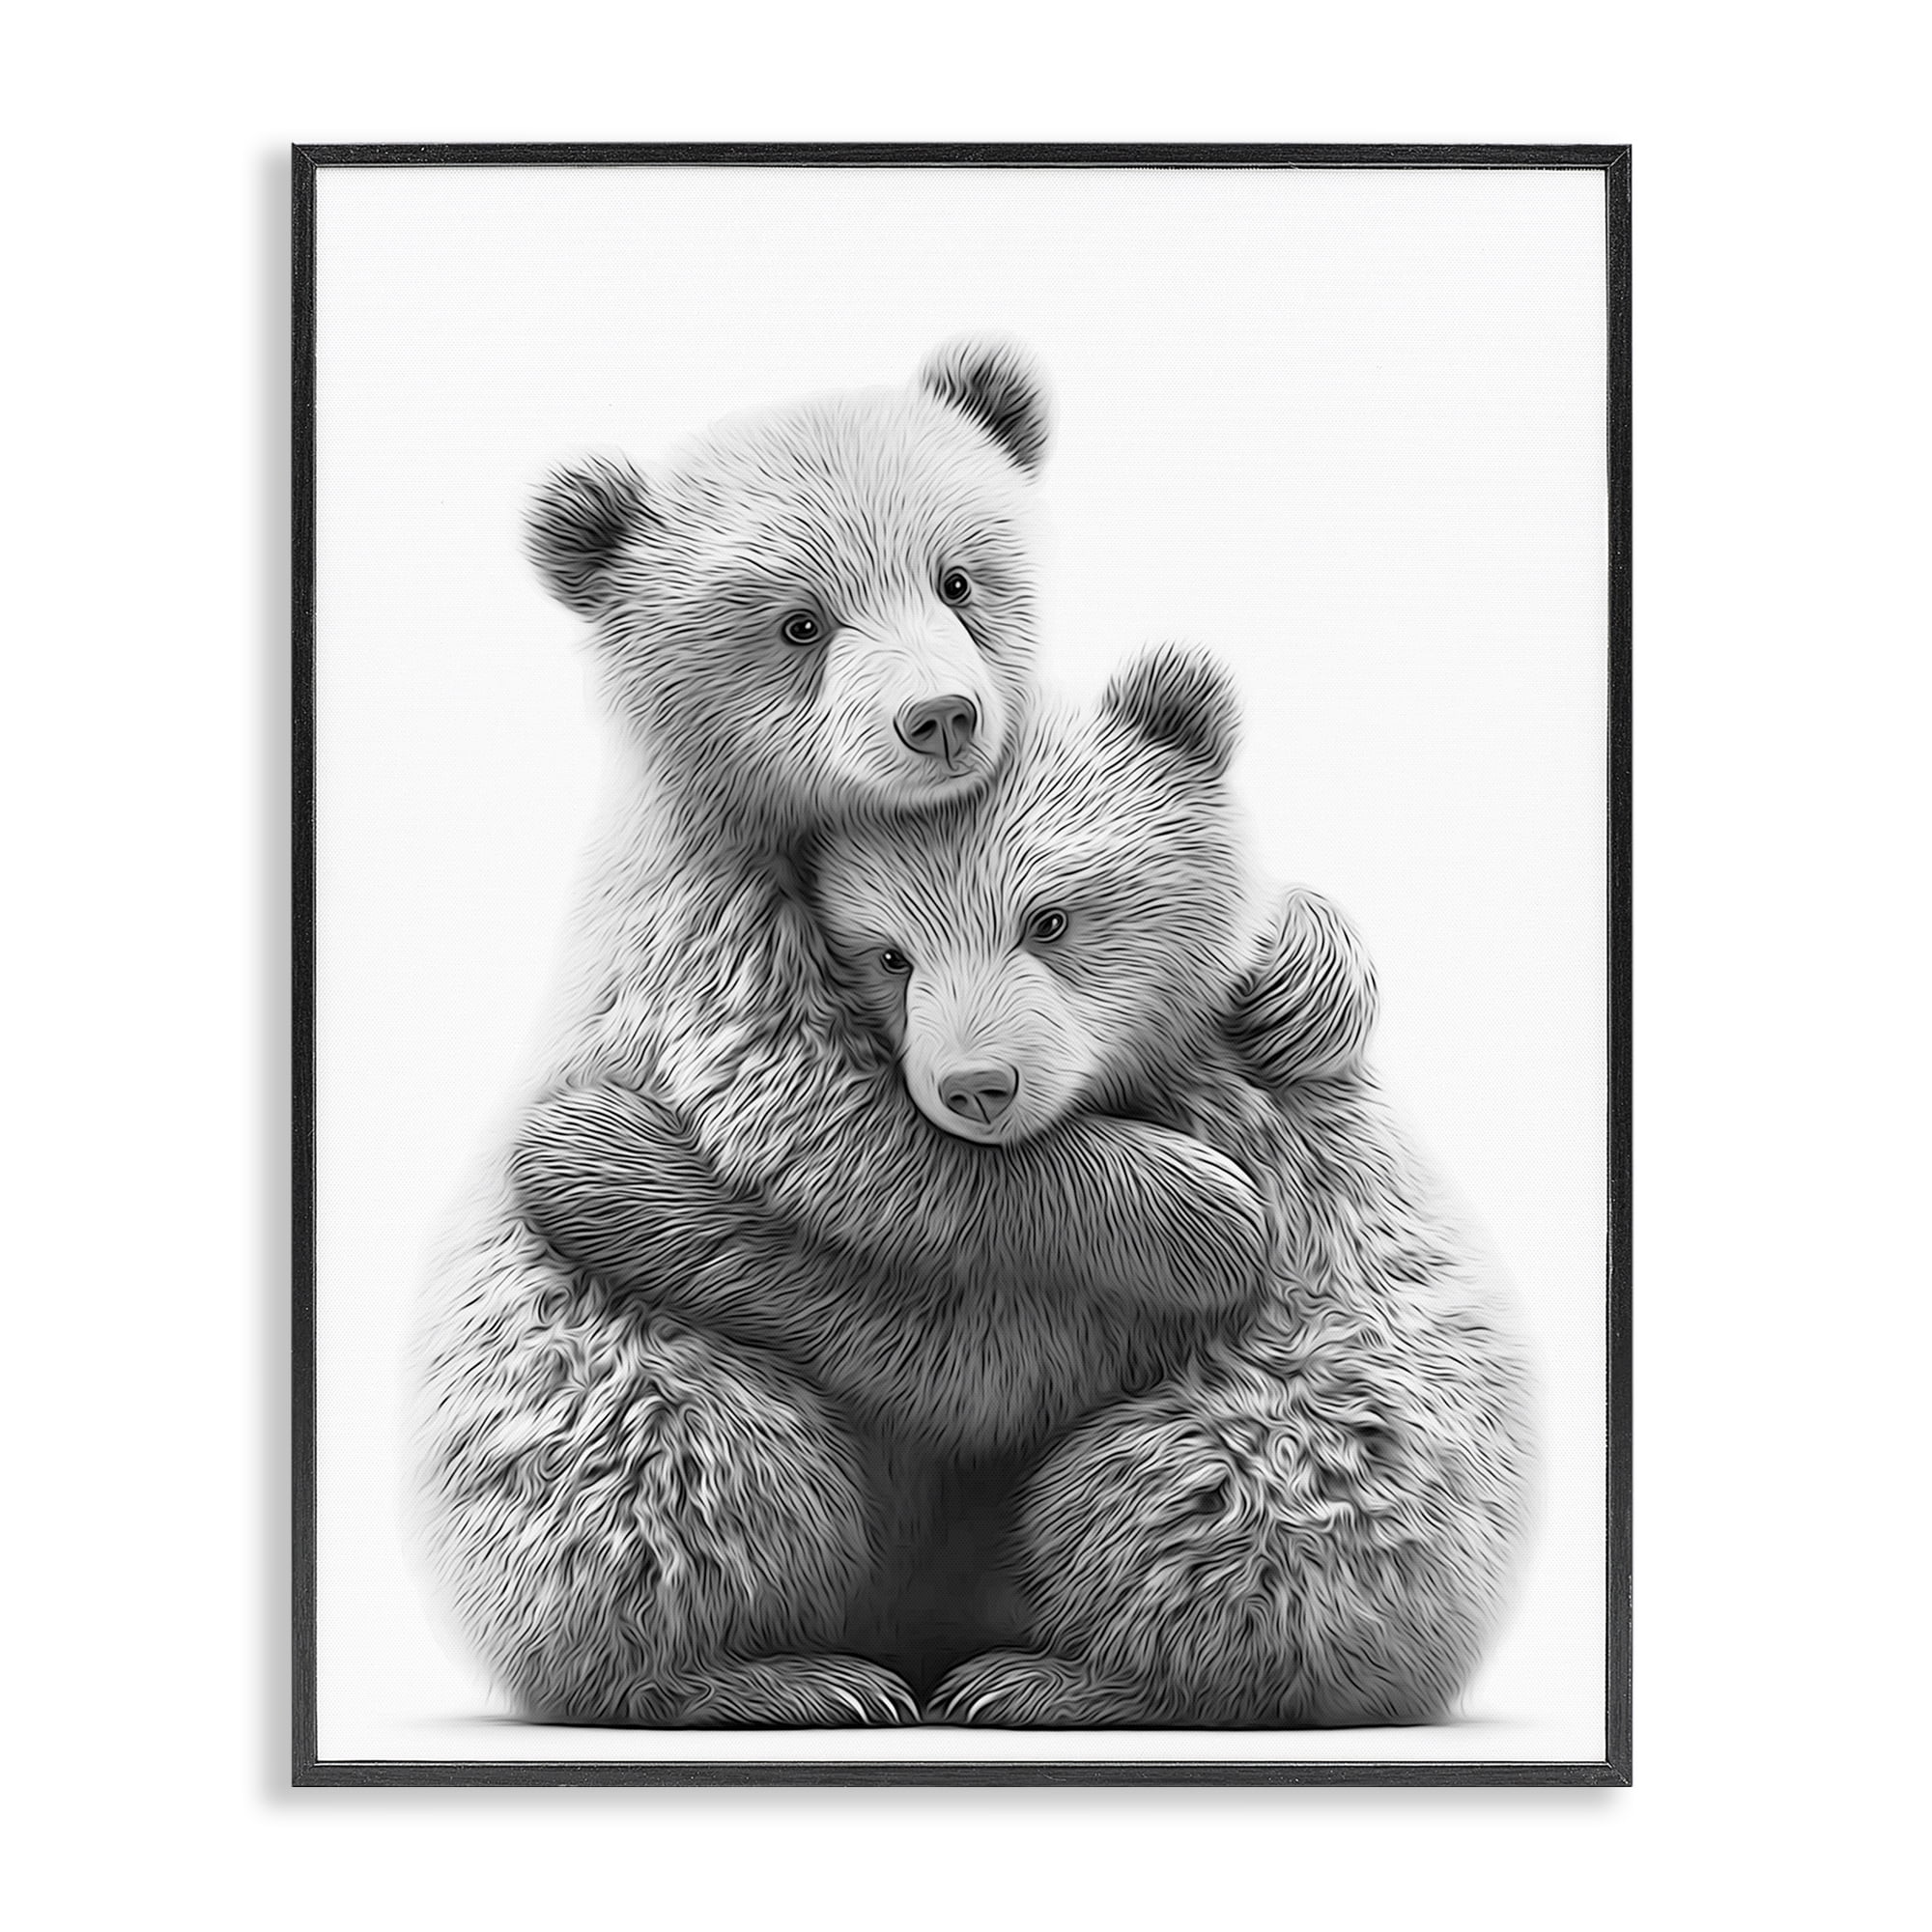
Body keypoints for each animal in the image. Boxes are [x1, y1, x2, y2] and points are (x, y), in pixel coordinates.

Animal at [414, 341, 1312, 1726]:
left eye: (956, 576)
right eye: (798, 621)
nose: (940, 715)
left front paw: (1306, 973)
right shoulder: (706, 934)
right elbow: (839, 1137)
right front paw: (1193, 1209)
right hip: (606, 1376)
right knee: (704, 1458)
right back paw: (785, 1672)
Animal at [788, 644, 1538, 1727]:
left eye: (1050, 917)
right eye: (890, 954)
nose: (977, 1085)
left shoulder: (1244, 1182)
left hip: (1301, 1450)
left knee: (1156, 1496)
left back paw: (1036, 1676)